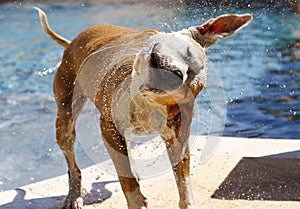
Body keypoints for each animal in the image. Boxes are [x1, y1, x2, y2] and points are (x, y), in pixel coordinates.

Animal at [34, 7, 251, 208]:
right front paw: (137, 201)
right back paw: (74, 196)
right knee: (73, 165)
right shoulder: (109, 127)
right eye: (186, 52)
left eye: (191, 78)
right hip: (65, 120)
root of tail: (72, 42)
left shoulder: (178, 141)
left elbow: (183, 183)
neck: (145, 102)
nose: (175, 73)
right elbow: (127, 179)